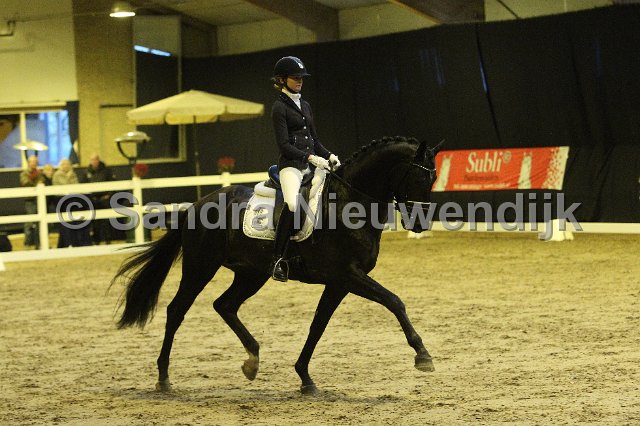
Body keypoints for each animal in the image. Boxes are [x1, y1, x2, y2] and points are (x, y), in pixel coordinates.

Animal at [112, 136, 441, 395]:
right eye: (419, 178)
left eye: (434, 178)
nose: (420, 224)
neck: (348, 202)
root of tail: (197, 204)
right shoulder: (347, 275)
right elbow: (394, 301)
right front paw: (423, 355)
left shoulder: (339, 282)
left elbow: (318, 325)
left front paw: (305, 378)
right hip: (200, 267)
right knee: (177, 310)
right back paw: (164, 378)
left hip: (251, 274)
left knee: (225, 305)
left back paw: (252, 360)